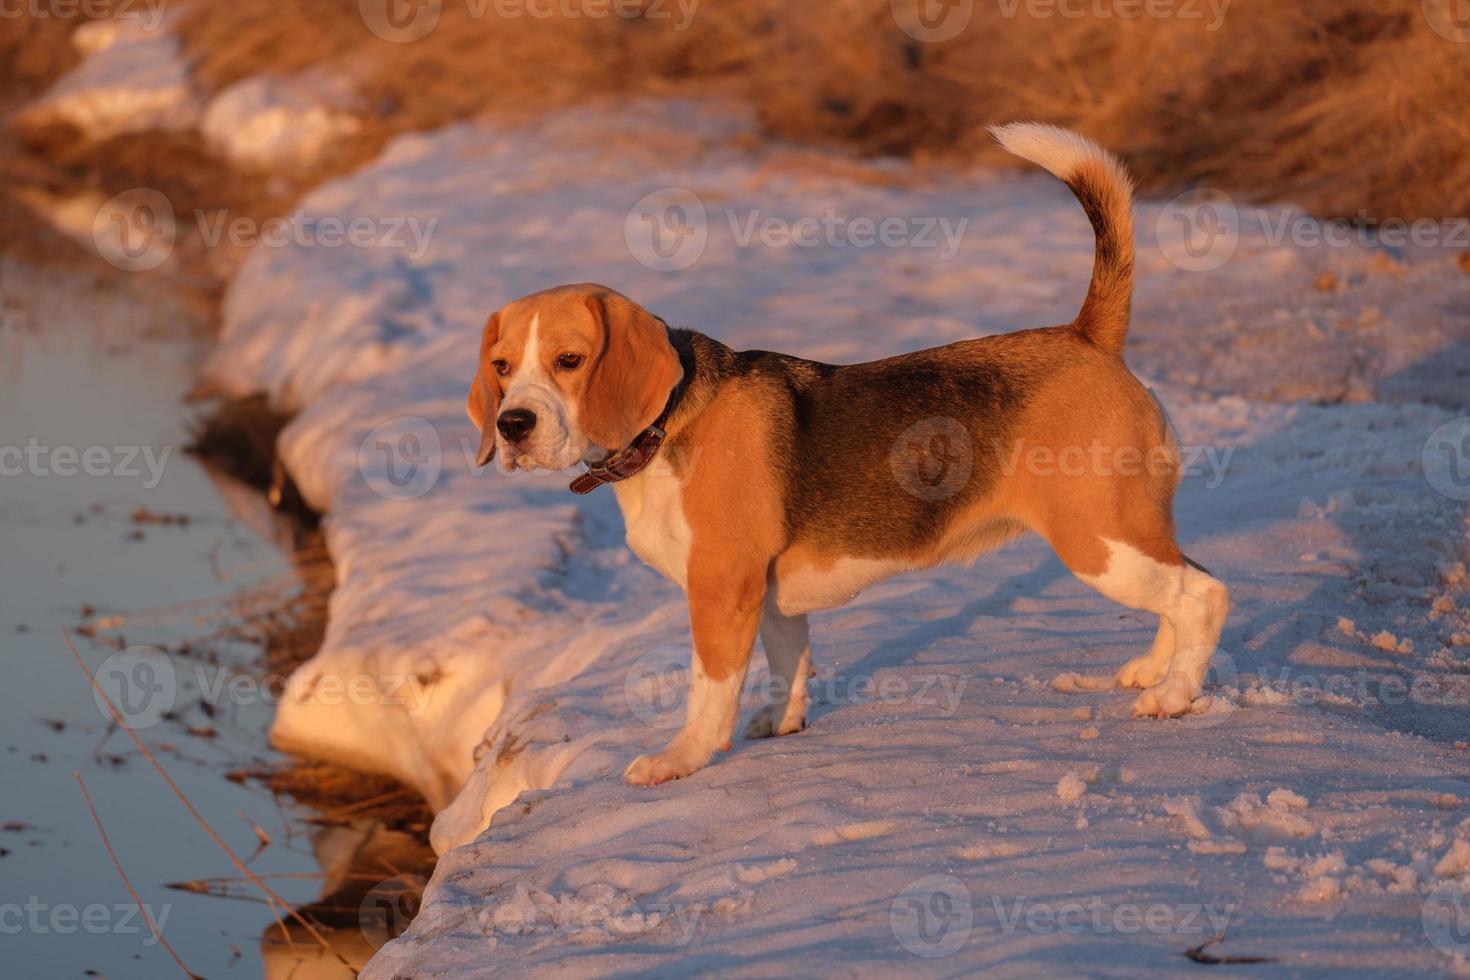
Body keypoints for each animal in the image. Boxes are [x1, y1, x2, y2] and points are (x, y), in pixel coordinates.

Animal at [464, 122, 1223, 787]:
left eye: (569, 361)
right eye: (501, 367)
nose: (513, 424)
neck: (669, 424)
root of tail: (1085, 334)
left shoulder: (720, 587)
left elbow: (709, 691)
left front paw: (681, 758)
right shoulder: (767, 591)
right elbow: (788, 661)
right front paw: (782, 721)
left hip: (1097, 539)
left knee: (1205, 595)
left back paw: (1172, 695)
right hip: (1129, 533)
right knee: (1185, 583)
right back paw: (1153, 668)